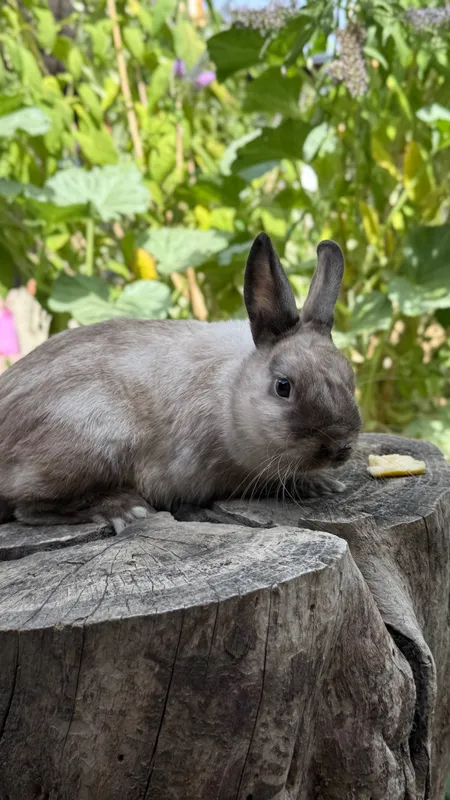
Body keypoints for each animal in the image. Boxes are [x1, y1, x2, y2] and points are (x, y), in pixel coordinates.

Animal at [0, 233, 361, 533]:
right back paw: (125, 509)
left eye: (350, 377)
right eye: (283, 387)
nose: (339, 446)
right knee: (28, 506)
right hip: (93, 438)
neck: (232, 394)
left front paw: (323, 483)